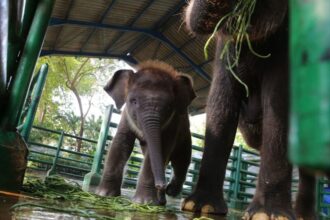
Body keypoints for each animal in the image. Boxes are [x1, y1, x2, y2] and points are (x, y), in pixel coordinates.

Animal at [96, 59, 196, 205]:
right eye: (133, 101)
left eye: (169, 106)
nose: (161, 185)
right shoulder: (126, 117)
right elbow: (120, 143)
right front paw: (105, 195)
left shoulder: (174, 123)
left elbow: (161, 149)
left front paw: (143, 202)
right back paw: (161, 200)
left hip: (185, 136)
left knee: (181, 160)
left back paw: (170, 193)